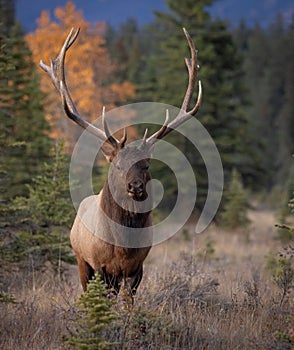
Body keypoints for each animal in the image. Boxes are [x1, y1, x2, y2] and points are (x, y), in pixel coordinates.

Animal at [40, 27, 202, 296]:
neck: (123, 246)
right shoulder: (100, 265)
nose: (135, 186)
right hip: (81, 260)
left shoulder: (137, 268)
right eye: (117, 165)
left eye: (146, 165)